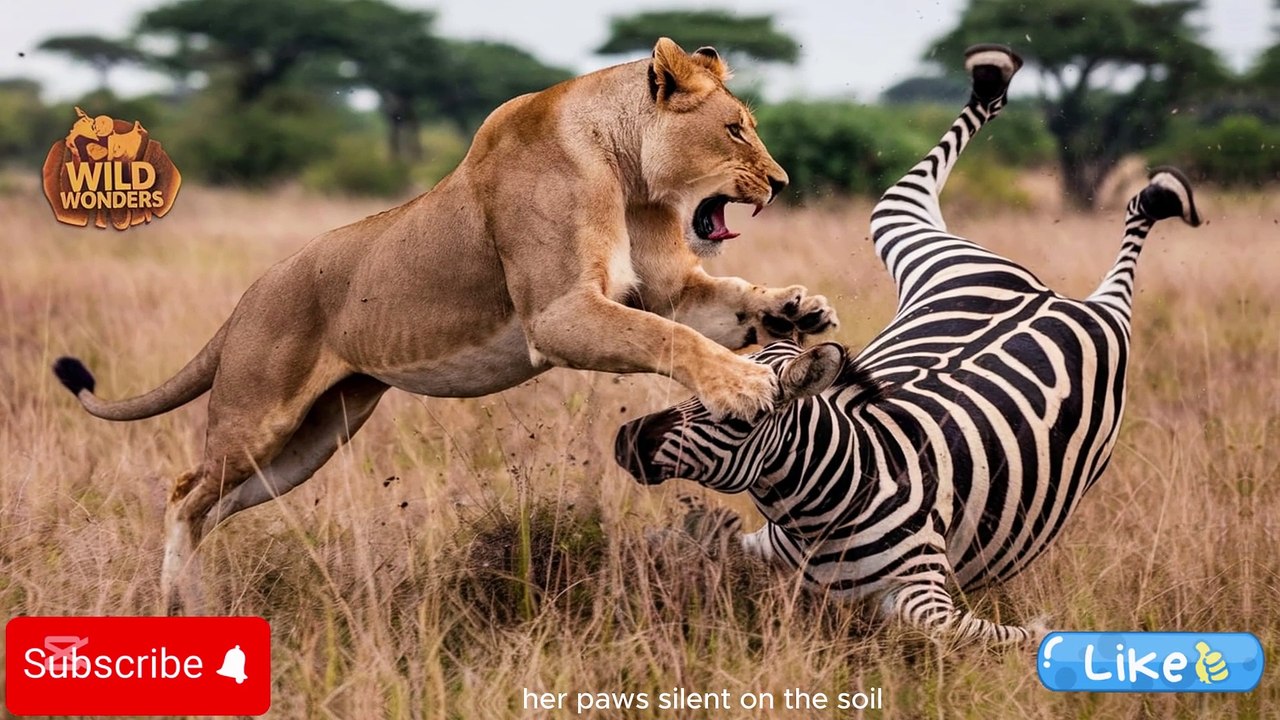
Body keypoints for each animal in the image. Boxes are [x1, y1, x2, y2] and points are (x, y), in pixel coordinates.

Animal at [51, 38, 838, 613]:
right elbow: (670, 337)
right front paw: (743, 386)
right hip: (259, 417)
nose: (782, 184)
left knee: (212, 506)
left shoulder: (664, 289)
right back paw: (177, 602)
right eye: (734, 130)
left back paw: (195, 601)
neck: (626, 171)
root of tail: (247, 298)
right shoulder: (557, 314)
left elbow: (720, 303)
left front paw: (796, 308)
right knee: (185, 493)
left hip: (313, 440)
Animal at [613, 44, 1202, 644]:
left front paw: (1041, 631)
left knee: (1123, 265)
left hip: (1097, 322)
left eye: (737, 419)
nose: (623, 442)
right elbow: (688, 542)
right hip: (912, 235)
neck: (824, 505)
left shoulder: (925, 593)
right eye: (695, 392)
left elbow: (971, 631)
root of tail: (1053, 296)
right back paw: (996, 76)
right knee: (911, 189)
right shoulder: (766, 545)